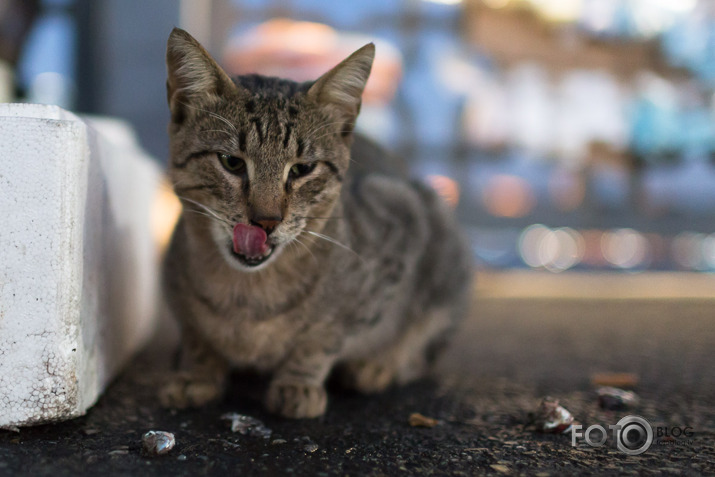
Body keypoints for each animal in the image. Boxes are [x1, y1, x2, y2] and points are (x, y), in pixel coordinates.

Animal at [159, 27, 472, 418]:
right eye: (231, 162)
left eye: (302, 169)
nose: (265, 221)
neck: (248, 293)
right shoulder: (174, 287)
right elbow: (197, 336)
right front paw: (197, 373)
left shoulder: (398, 226)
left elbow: (322, 339)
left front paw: (299, 382)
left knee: (422, 348)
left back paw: (377, 366)